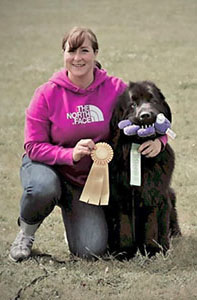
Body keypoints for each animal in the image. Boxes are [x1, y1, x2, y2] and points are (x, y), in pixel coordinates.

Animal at [107, 81, 181, 256]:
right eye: (132, 105)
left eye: (152, 100)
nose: (145, 115)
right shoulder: (121, 196)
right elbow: (124, 225)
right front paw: (125, 252)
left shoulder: (153, 194)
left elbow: (151, 224)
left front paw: (152, 249)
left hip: (170, 194)